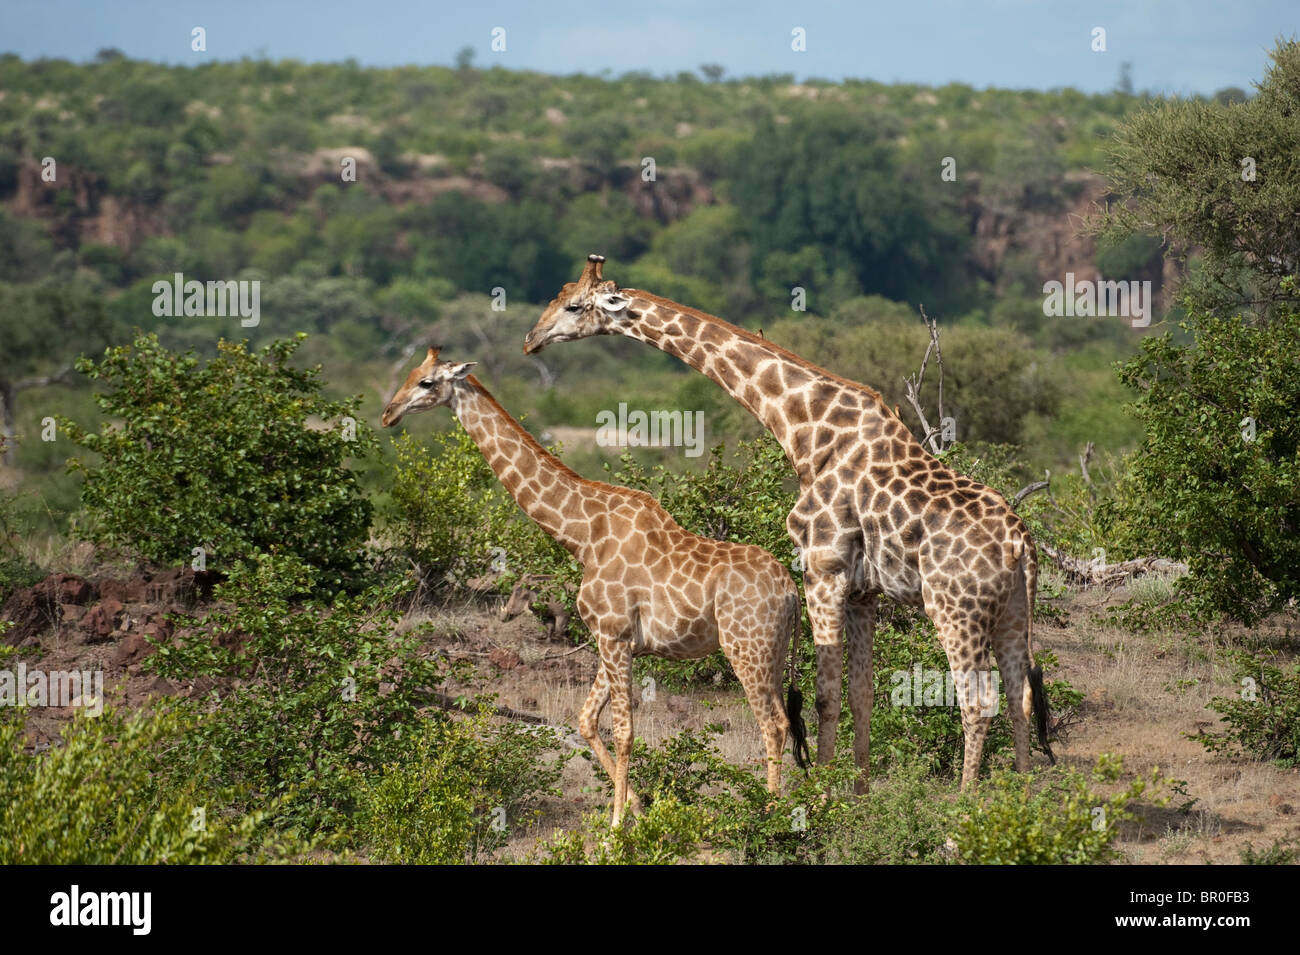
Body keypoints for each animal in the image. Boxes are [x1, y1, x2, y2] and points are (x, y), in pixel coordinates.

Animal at [382, 348, 810, 824]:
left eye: (426, 383)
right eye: (410, 374)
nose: (388, 413)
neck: (583, 535)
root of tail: (792, 592)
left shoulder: (613, 633)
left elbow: (624, 729)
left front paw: (618, 824)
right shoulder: (617, 640)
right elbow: (587, 720)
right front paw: (639, 806)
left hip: (746, 647)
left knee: (772, 723)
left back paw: (769, 815)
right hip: (773, 650)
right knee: (786, 720)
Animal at [523, 256, 1055, 791]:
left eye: (573, 305)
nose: (530, 339)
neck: (805, 427)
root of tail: (1021, 543)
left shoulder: (822, 566)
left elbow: (824, 695)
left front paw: (821, 793)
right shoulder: (863, 590)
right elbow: (861, 693)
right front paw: (858, 793)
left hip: (954, 608)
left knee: (977, 699)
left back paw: (966, 799)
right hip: (1014, 609)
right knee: (1020, 694)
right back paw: (1022, 792)